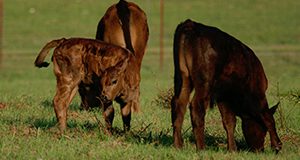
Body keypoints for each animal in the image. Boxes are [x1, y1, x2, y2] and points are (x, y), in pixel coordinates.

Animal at [171, 19, 282, 152]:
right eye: (262, 129)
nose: (259, 149)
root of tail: (191, 25)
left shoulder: (223, 95)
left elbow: (229, 121)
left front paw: (232, 149)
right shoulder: (257, 95)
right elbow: (268, 117)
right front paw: (277, 145)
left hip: (183, 78)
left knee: (179, 104)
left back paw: (178, 146)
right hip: (204, 82)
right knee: (197, 106)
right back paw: (201, 148)